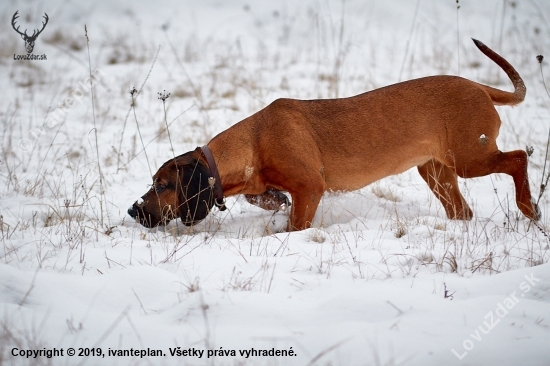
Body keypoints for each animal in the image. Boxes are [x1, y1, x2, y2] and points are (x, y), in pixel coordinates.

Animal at [127, 40, 540, 232]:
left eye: (162, 185)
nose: (132, 209)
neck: (253, 142)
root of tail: (480, 87)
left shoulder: (310, 187)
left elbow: (295, 224)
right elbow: (262, 196)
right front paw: (269, 200)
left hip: (471, 157)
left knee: (519, 157)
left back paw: (528, 208)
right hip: (436, 171)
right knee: (462, 211)